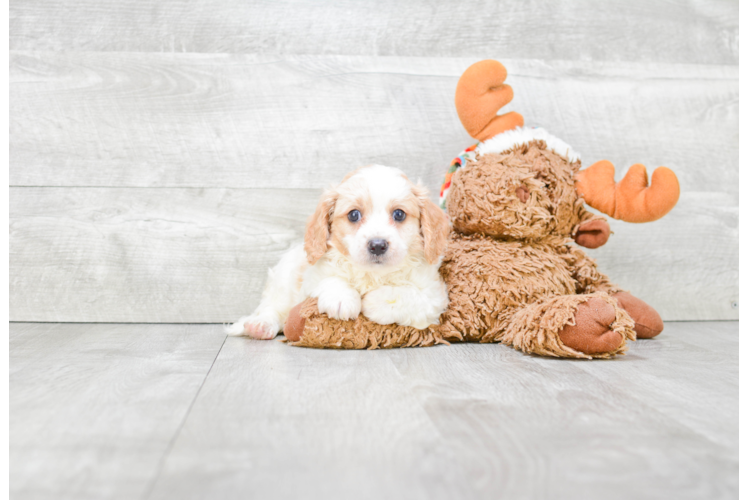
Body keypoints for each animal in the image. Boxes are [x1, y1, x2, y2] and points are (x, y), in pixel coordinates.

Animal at [228, 164, 450, 340]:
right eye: (354, 215)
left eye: (399, 214)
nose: (377, 245)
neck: (373, 274)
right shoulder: (312, 276)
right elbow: (331, 278)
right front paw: (343, 298)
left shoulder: (434, 296)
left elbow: (412, 296)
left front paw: (374, 301)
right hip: (283, 281)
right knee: (272, 308)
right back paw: (259, 325)